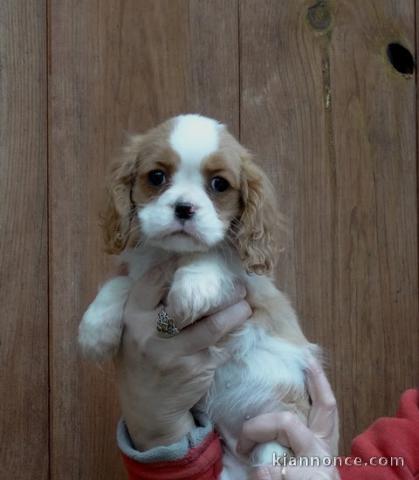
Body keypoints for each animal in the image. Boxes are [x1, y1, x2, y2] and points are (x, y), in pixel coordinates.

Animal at [79, 114, 338, 478]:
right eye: (156, 177)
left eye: (219, 184)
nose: (184, 208)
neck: (173, 255)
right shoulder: (143, 272)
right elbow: (119, 284)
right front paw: (94, 330)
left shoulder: (251, 285)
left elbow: (213, 255)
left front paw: (193, 287)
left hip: (278, 434)